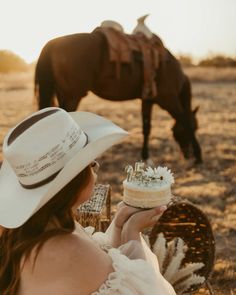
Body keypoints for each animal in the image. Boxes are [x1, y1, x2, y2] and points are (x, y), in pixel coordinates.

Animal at [34, 29, 202, 164]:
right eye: (196, 127)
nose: (187, 155)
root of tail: (54, 43)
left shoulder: (147, 100)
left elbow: (146, 127)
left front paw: (146, 157)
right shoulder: (168, 99)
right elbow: (186, 121)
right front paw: (199, 157)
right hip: (72, 96)